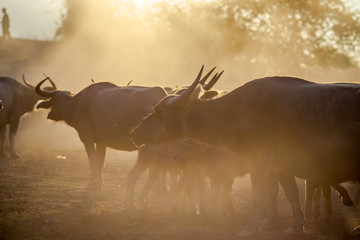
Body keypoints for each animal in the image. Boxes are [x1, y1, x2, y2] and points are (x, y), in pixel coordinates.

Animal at [131, 65, 360, 236]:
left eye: (158, 112)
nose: (134, 132)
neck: (237, 111)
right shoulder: (280, 166)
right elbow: (290, 193)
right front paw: (295, 227)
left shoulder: (259, 161)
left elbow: (258, 195)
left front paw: (250, 228)